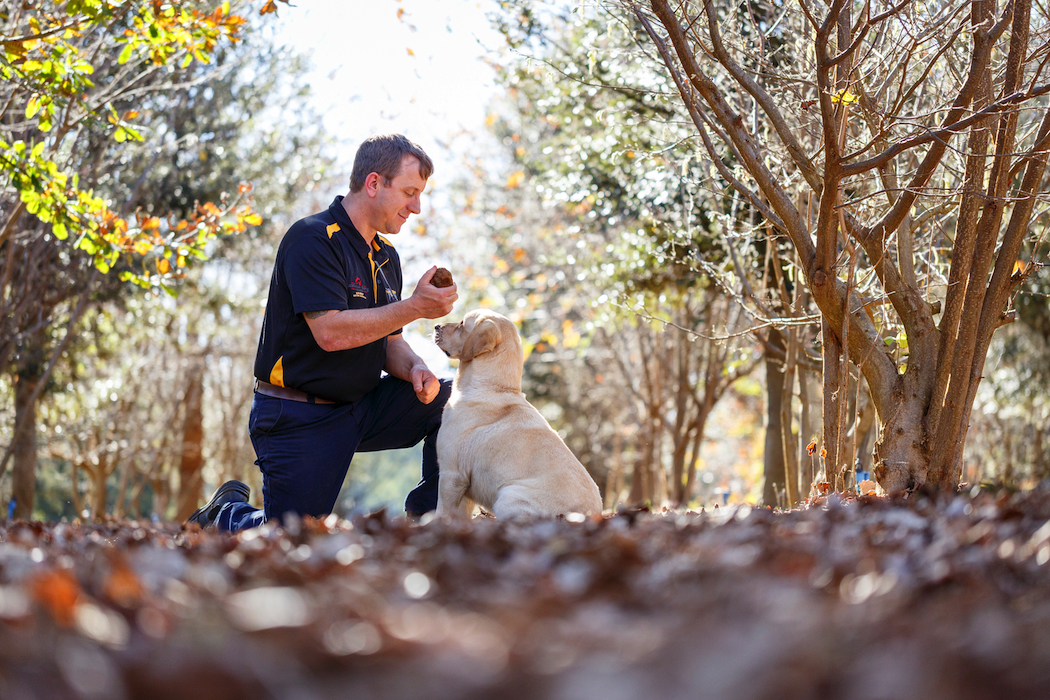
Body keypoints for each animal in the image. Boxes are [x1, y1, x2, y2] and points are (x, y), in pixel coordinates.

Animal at [432, 308, 600, 518]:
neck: (495, 387)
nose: (436, 326)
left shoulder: (451, 475)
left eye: (462, 323)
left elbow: (441, 513)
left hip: (508, 496)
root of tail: (588, 516)